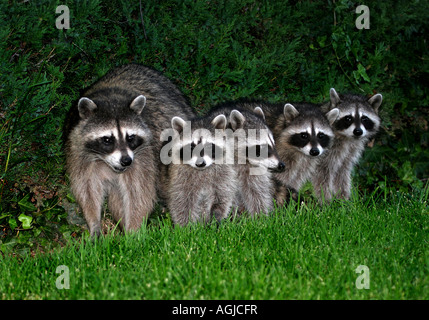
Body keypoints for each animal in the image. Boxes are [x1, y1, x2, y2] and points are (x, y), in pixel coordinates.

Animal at [63, 63, 194, 236]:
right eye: (107, 140)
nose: (126, 161)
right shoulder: (78, 151)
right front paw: (94, 222)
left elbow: (139, 194)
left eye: (130, 137)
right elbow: (87, 189)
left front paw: (133, 230)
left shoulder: (144, 154)